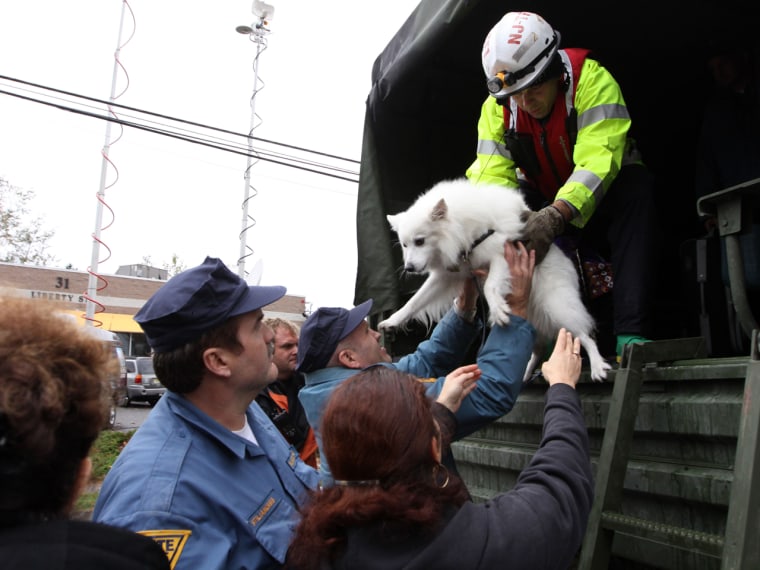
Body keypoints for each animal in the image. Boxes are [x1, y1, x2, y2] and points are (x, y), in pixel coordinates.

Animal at [380, 178, 612, 382]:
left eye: (420, 241)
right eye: (404, 245)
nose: (409, 268)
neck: (463, 230)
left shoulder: (500, 257)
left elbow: (491, 287)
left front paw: (498, 311)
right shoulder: (444, 277)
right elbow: (414, 303)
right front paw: (392, 321)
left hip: (557, 308)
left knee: (584, 335)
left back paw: (597, 367)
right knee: (538, 349)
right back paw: (525, 374)